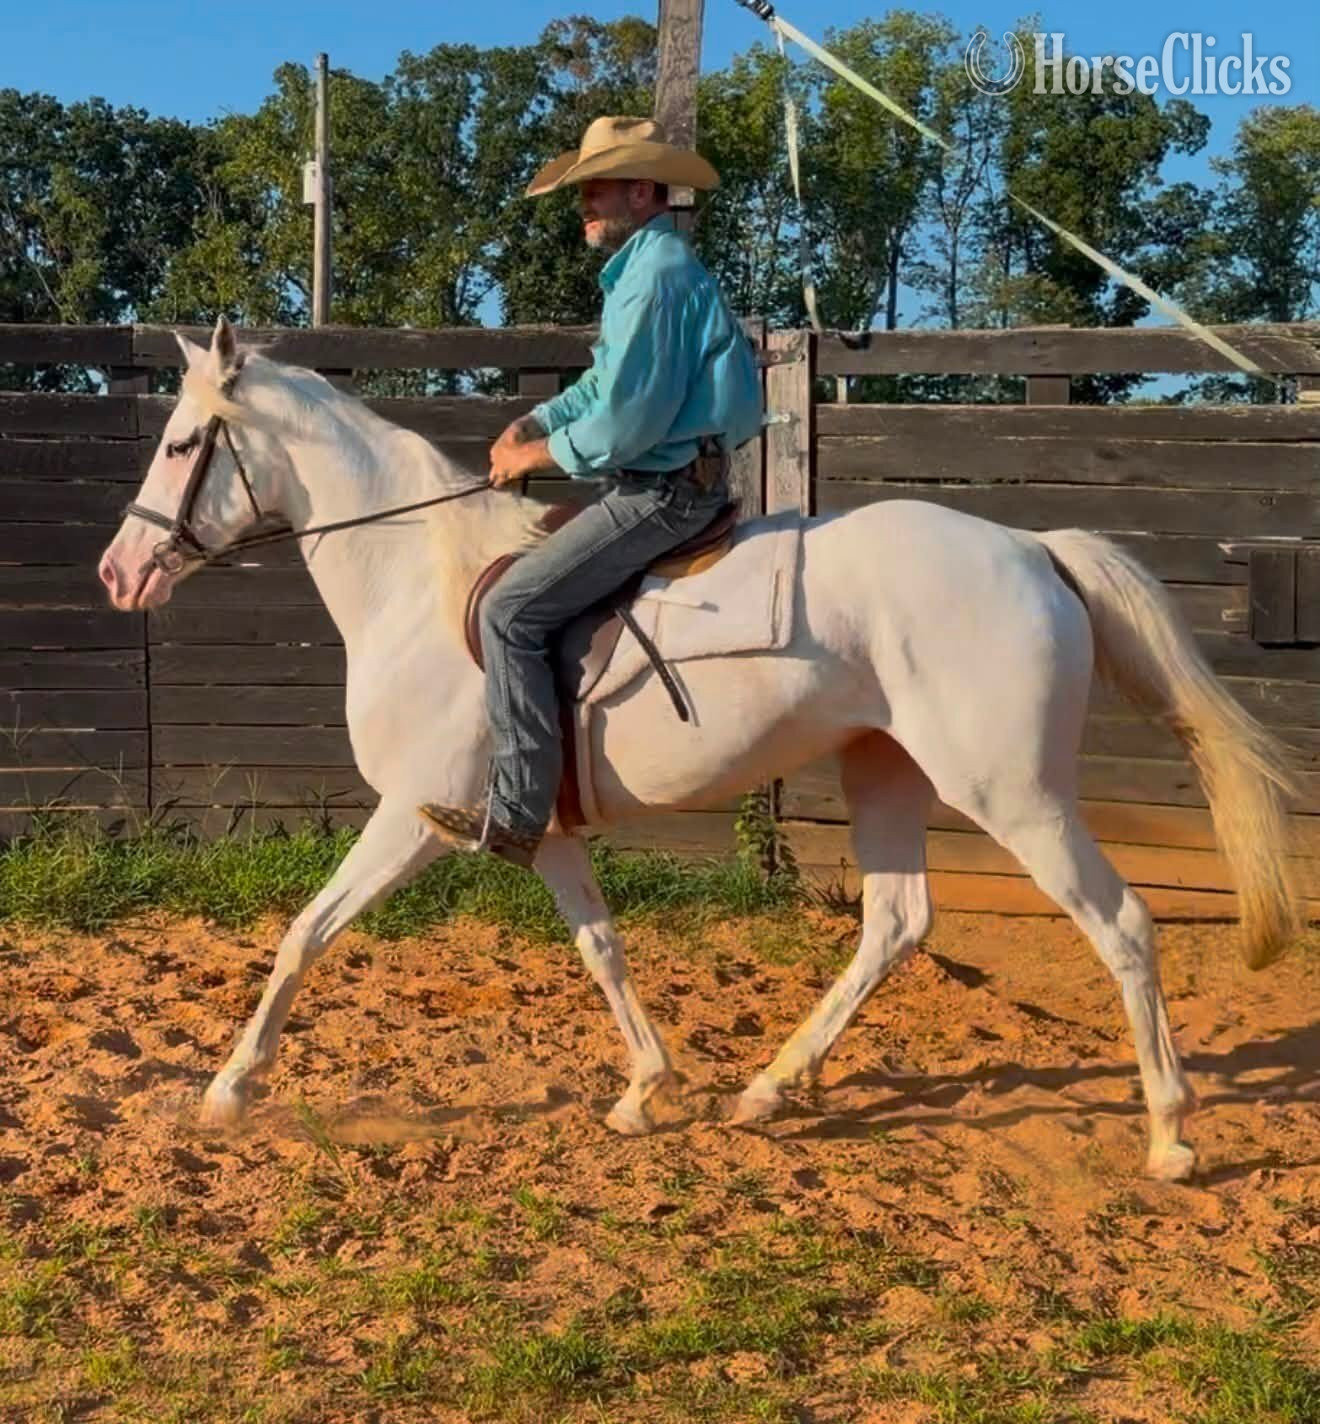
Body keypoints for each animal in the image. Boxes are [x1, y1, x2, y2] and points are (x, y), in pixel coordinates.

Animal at [97, 316, 1301, 1182]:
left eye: (179, 444)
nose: (118, 572)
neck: (415, 585)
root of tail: (1032, 547)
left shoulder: (413, 818)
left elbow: (304, 933)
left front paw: (229, 1090)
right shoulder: (542, 831)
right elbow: (601, 948)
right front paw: (647, 1087)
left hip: (1015, 795)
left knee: (1120, 924)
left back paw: (1171, 1135)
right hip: (887, 773)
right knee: (897, 922)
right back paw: (769, 1087)